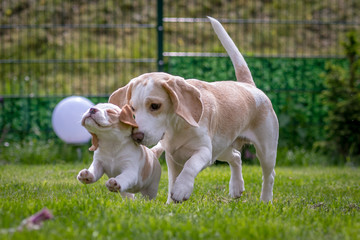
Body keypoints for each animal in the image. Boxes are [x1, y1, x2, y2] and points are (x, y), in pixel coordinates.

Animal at [109, 16, 278, 202]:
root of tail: (248, 86)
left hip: (265, 150)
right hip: (221, 148)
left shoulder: (204, 151)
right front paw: (170, 203)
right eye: (133, 109)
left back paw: (265, 200)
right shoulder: (172, 158)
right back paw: (236, 187)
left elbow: (190, 166)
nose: (137, 137)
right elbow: (172, 181)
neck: (176, 128)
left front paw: (182, 189)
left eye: (155, 106)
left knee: (269, 175)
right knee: (236, 157)